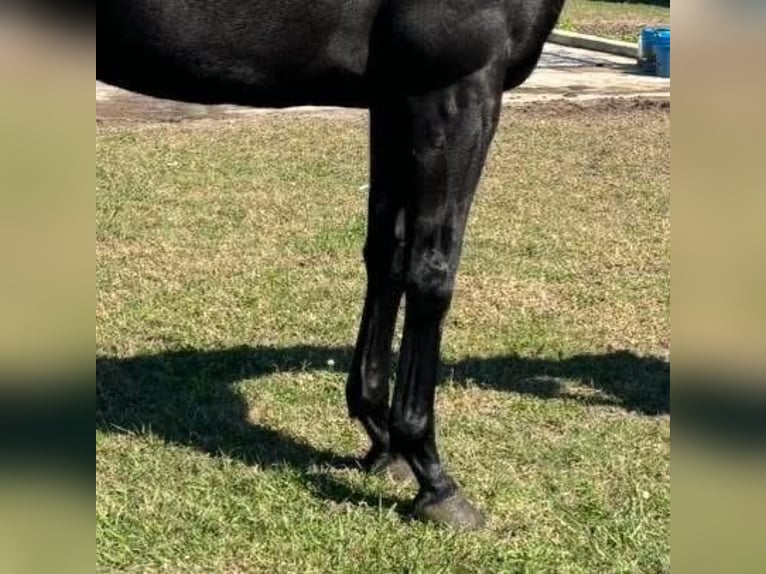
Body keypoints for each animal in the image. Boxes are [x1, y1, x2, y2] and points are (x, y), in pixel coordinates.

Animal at [97, 0, 568, 532]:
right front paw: (433, 479)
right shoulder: (455, 91)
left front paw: (383, 442)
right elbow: (431, 271)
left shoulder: (394, 101)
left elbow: (388, 255)